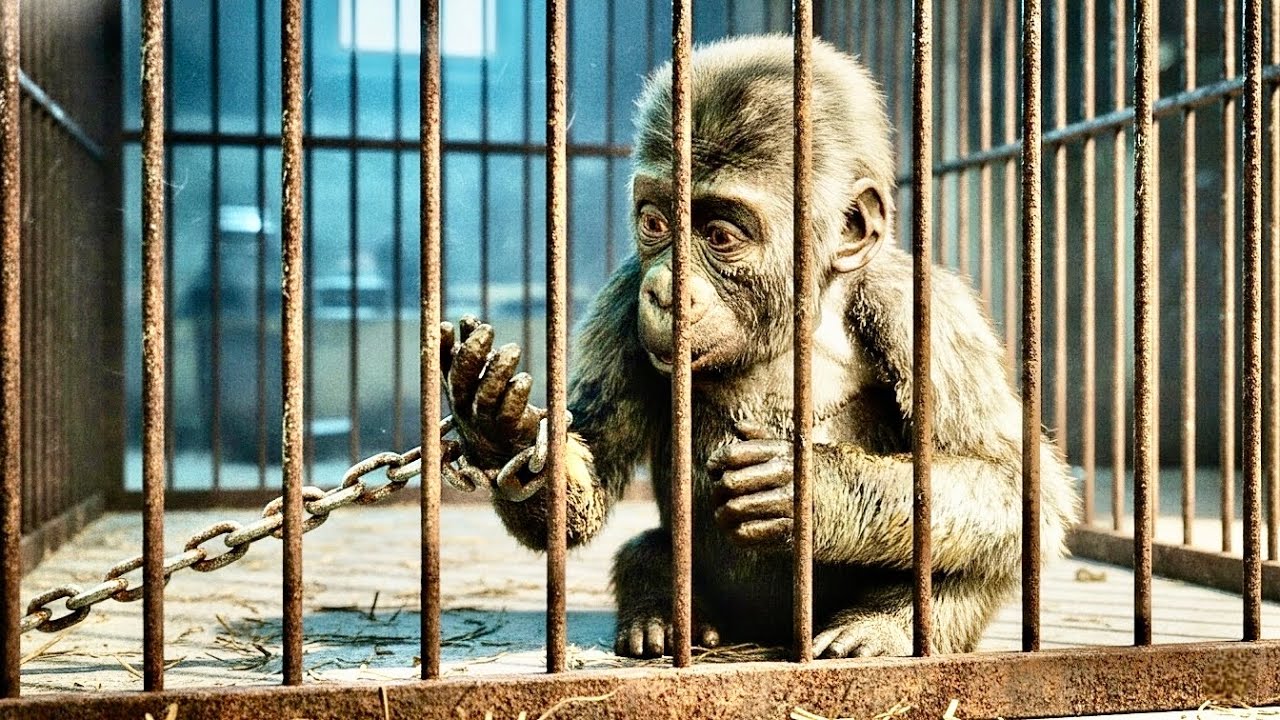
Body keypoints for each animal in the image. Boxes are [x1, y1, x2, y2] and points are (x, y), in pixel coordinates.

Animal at [439, 34, 1078, 659]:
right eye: (655, 222)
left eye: (720, 235)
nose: (664, 288)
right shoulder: (622, 300)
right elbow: (588, 469)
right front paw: (500, 432)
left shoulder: (925, 313)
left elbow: (1017, 484)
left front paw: (813, 489)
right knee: (648, 548)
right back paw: (659, 607)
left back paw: (883, 625)